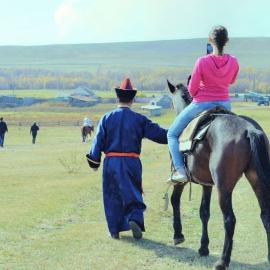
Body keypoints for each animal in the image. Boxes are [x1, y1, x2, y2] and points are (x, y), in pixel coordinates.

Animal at [167, 79, 270, 270]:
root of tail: (248, 130)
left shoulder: (181, 180)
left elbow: (175, 200)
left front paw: (178, 235)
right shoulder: (207, 184)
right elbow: (204, 212)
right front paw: (203, 247)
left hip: (224, 187)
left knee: (229, 219)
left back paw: (222, 261)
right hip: (256, 179)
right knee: (265, 214)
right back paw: (268, 256)